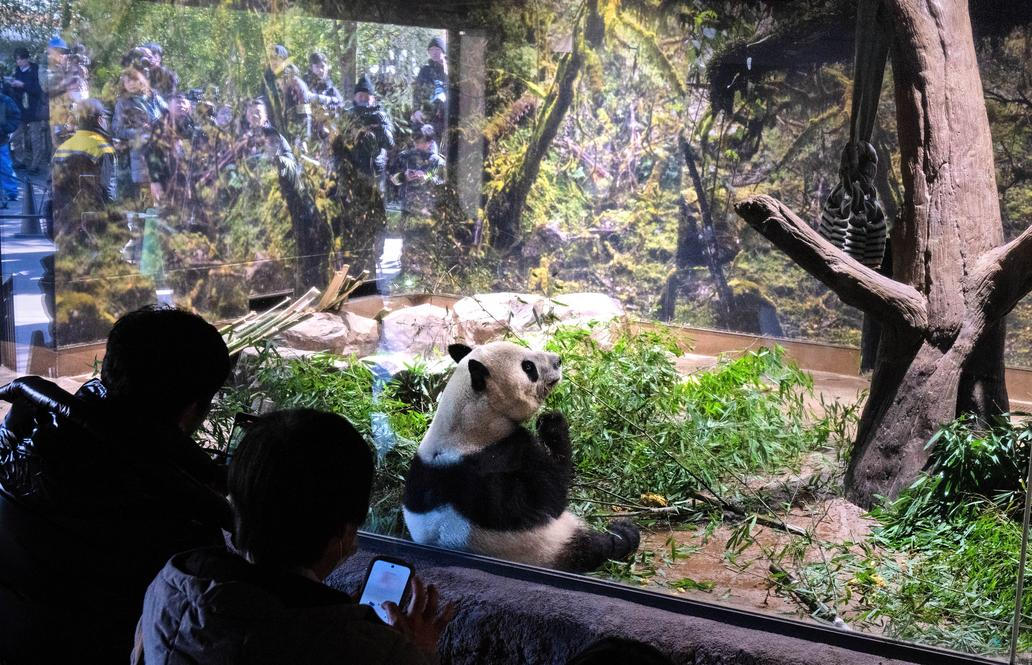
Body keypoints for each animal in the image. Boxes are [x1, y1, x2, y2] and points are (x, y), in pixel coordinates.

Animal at [402, 341, 640, 572]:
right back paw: (622, 533)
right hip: (545, 544)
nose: (557, 360)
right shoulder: (487, 465)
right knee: (591, 547)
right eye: (528, 367)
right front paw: (553, 425)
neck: (465, 423)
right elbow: (546, 497)